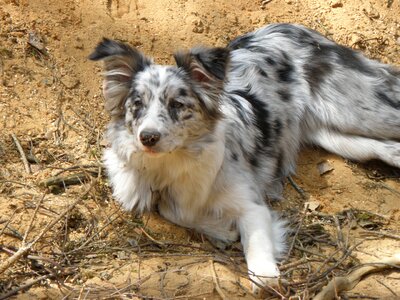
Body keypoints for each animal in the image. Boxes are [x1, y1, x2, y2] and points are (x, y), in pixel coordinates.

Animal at [90, 24, 400, 292]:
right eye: (137, 105)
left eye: (177, 105)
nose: (148, 137)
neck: (174, 162)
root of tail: (291, 27)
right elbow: (171, 209)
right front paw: (220, 228)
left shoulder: (252, 207)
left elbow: (256, 244)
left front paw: (264, 275)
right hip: (337, 136)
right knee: (385, 147)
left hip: (361, 113)